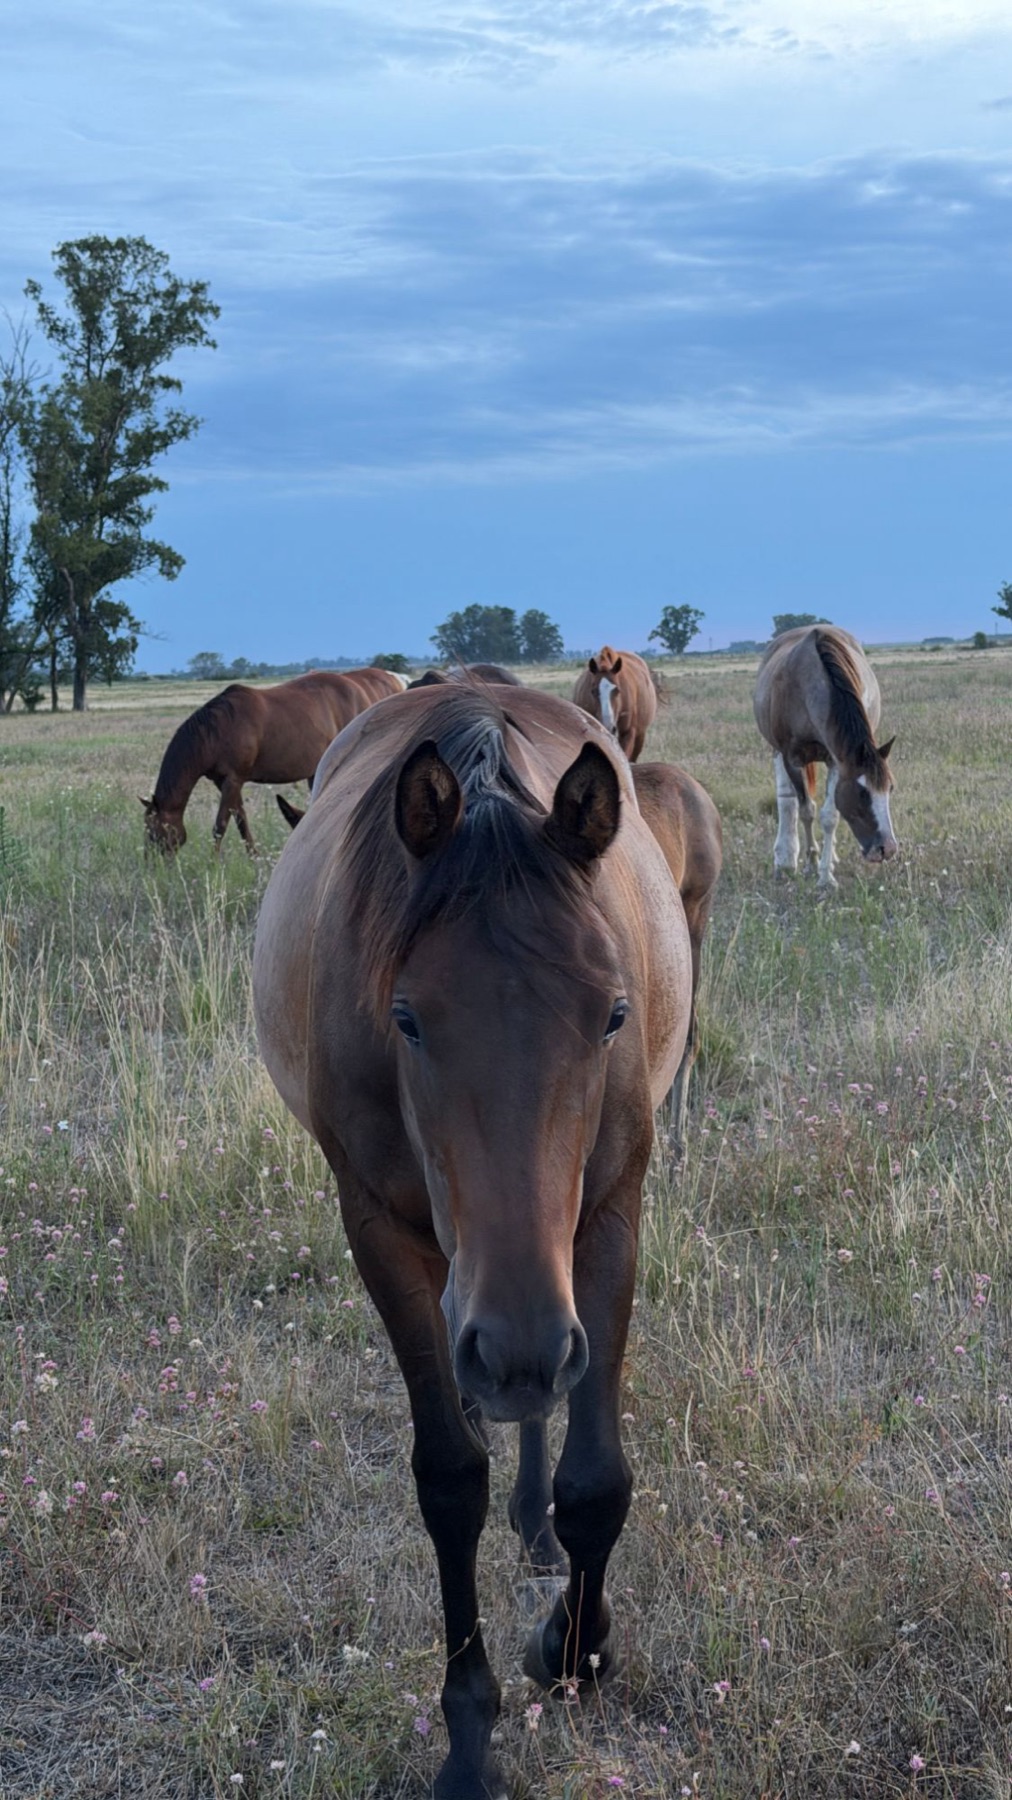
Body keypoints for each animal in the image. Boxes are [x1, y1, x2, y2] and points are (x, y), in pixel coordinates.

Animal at [140, 667, 405, 853]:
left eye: (154, 832)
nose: (154, 866)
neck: (216, 731)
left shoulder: (233, 780)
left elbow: (220, 826)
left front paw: (213, 865)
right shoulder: (227, 782)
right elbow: (241, 821)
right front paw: (254, 859)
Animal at [253, 684, 693, 1800]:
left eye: (613, 1013)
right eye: (405, 1019)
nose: (517, 1348)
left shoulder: (607, 1215)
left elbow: (595, 1482)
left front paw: (576, 1652)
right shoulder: (381, 1232)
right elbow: (449, 1483)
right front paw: (467, 1739)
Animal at [753, 625, 897, 887]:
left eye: (889, 789)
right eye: (862, 793)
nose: (887, 849)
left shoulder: (837, 761)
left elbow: (830, 816)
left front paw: (826, 875)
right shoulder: (792, 759)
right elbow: (805, 810)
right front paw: (811, 864)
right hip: (776, 751)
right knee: (786, 801)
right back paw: (786, 858)